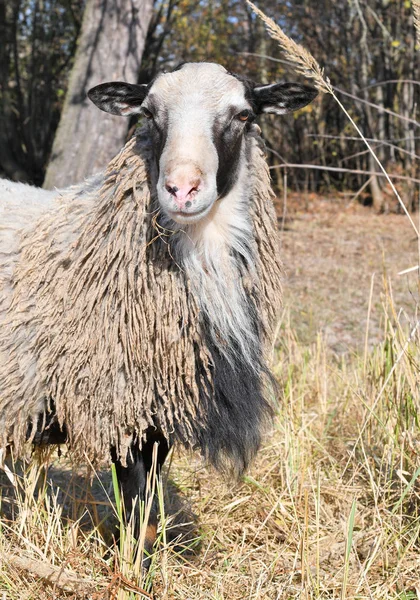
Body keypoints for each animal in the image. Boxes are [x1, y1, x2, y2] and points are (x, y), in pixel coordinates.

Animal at [0, 61, 316, 556]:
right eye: (148, 113)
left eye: (244, 115)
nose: (181, 189)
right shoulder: (120, 402)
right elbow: (134, 511)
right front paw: (130, 568)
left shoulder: (158, 410)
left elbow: (147, 512)